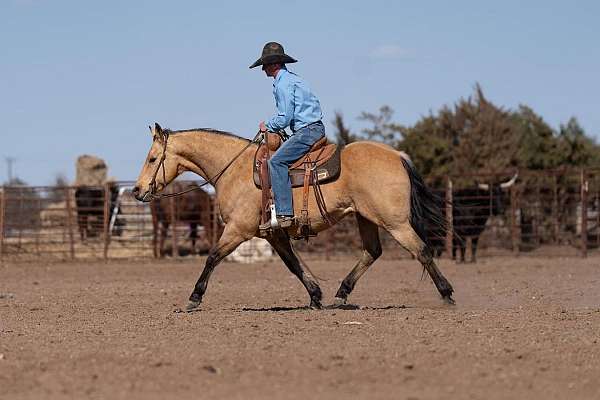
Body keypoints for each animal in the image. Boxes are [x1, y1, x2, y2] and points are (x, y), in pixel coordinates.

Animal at [132, 123, 454, 310]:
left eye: (152, 158)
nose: (137, 190)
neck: (234, 169)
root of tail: (399, 155)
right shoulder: (274, 234)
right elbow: (294, 265)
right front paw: (315, 295)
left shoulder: (238, 229)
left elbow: (212, 257)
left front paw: (194, 298)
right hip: (366, 218)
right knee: (372, 252)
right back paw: (341, 294)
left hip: (395, 223)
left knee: (421, 250)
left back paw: (447, 294)